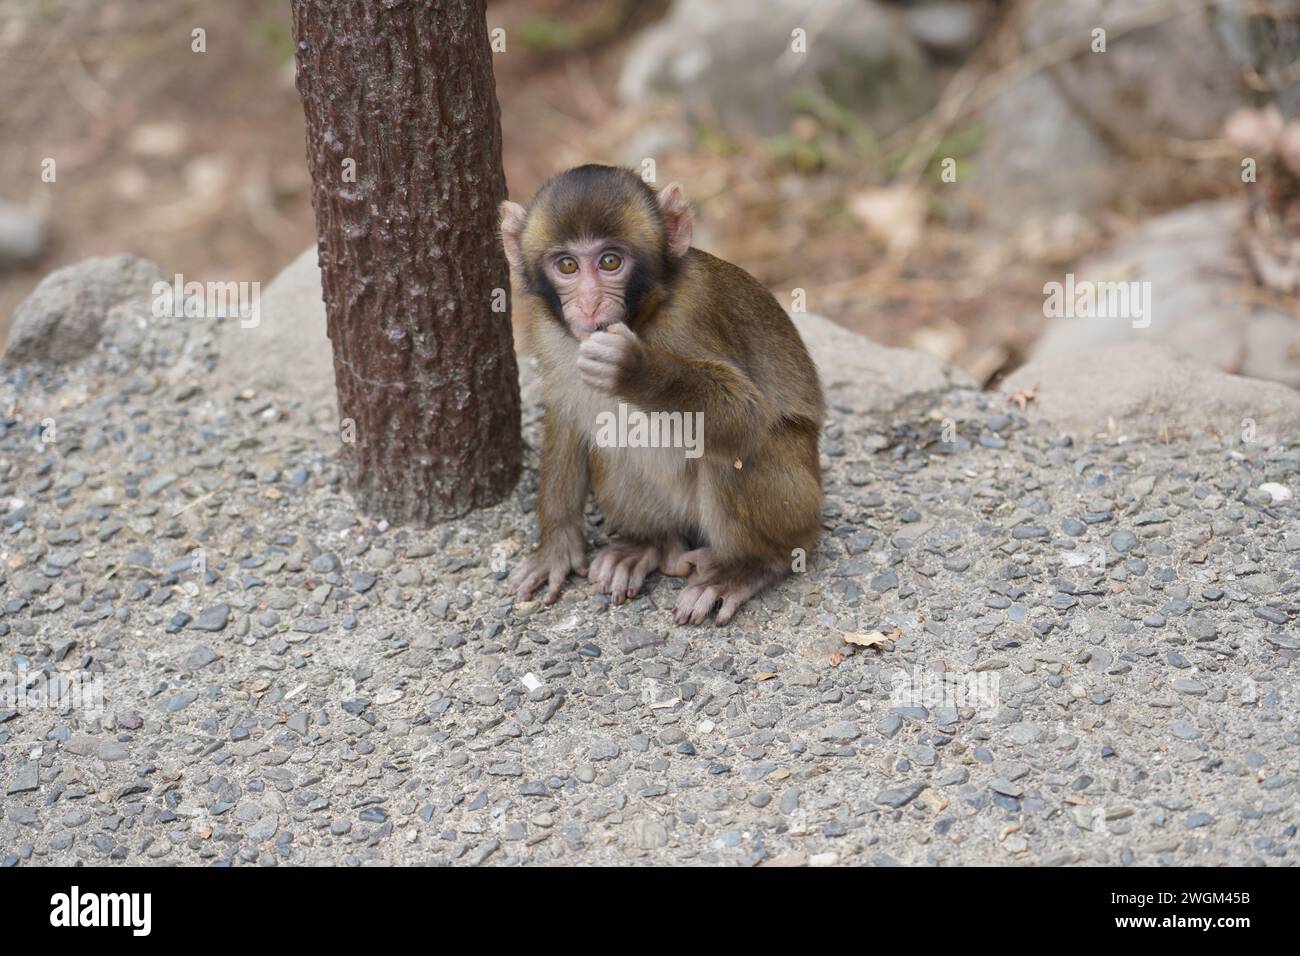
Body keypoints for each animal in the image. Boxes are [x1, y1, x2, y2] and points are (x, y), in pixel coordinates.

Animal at [499, 166, 821, 629]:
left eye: (610, 261)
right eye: (567, 265)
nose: (590, 304)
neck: (644, 315)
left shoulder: (694, 311)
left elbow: (746, 417)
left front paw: (636, 369)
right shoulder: (548, 330)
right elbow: (565, 418)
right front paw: (555, 545)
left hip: (801, 503)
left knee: (734, 456)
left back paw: (750, 566)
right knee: (609, 439)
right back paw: (648, 545)